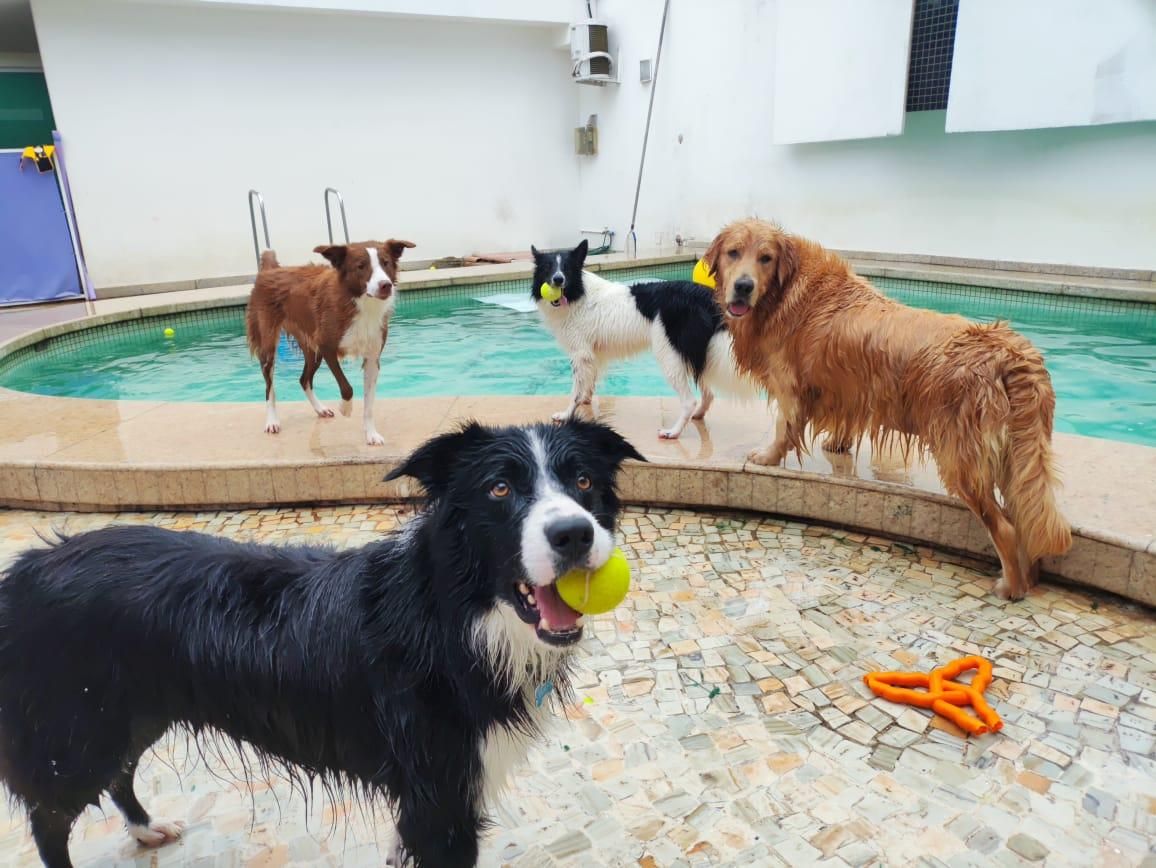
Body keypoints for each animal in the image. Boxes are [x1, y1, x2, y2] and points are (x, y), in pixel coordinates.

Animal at [0, 420, 642, 868]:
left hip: (134, 711)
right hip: (77, 728)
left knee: (119, 773)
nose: (574, 534)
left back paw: (145, 826)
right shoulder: (442, 798)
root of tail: (29, 566)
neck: (452, 615)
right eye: (500, 488)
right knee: (49, 817)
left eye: (583, 481)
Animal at [246, 241, 418, 443]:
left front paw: (371, 434)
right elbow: (347, 387)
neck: (360, 303)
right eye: (361, 266)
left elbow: (369, 404)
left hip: (313, 350)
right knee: (269, 386)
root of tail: (270, 270)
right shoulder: (326, 347)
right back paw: (272, 421)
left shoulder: (372, 359)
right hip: (269, 347)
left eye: (386, 263)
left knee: (303, 379)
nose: (386, 285)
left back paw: (320, 409)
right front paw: (345, 408)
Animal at [531, 239, 758, 436]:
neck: (579, 293)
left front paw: (567, 414)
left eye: (567, 268)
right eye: (548, 268)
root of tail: (705, 296)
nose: (558, 279)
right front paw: (587, 401)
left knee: (688, 401)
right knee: (708, 394)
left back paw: (674, 432)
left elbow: (575, 391)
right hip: (693, 352)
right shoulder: (592, 354)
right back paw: (698, 415)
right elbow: (588, 382)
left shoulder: (580, 353)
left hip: (669, 354)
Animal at [702, 218, 1072, 596]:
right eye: (734, 252)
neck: (784, 291)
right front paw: (837, 444)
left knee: (1006, 527)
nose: (743, 286)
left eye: (766, 258)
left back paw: (1011, 587)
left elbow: (783, 427)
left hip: (961, 457)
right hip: (1019, 458)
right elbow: (843, 424)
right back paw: (1030, 576)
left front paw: (767, 456)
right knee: (1026, 515)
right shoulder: (848, 387)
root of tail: (1009, 353)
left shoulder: (791, 387)